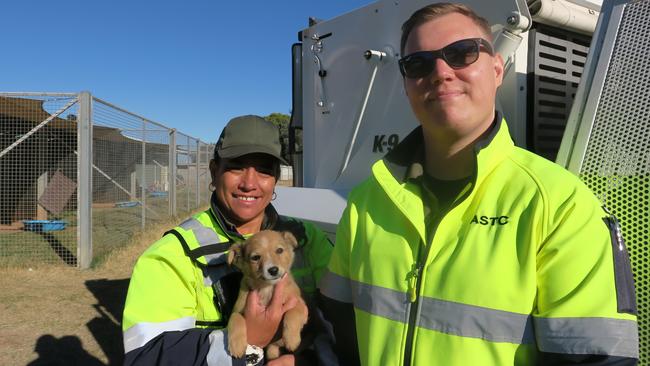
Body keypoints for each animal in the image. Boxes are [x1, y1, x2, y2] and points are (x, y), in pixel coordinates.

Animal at [227, 230, 308, 358]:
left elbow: (292, 312)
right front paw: (236, 346)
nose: (273, 270)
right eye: (255, 257)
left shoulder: (300, 304)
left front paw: (292, 340)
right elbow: (235, 318)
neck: (267, 288)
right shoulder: (237, 310)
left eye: (279, 250)